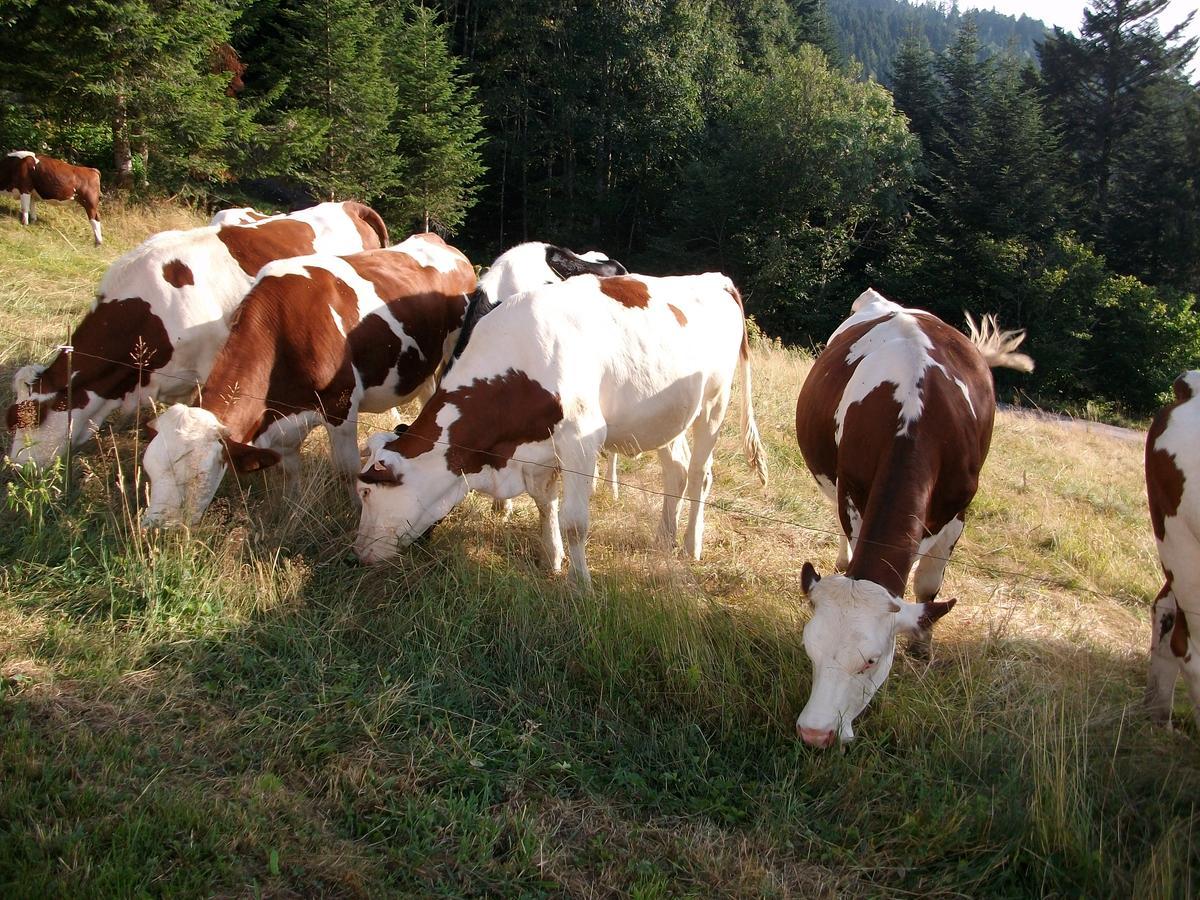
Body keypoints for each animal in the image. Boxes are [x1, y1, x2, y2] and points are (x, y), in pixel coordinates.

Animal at [140, 232, 472, 528]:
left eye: (197, 477)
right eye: (149, 469)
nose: (155, 529)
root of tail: (437, 240)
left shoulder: (341, 405)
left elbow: (346, 469)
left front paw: (354, 512)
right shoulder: (281, 421)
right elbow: (289, 471)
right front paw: (292, 511)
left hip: (450, 353)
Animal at [350, 271, 772, 588]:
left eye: (367, 492)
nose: (357, 553)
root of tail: (714, 278)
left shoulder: (581, 440)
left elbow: (575, 523)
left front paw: (579, 583)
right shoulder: (536, 449)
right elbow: (545, 504)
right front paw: (551, 558)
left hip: (714, 404)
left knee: (700, 474)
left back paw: (689, 545)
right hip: (667, 414)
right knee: (677, 469)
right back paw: (663, 539)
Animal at [792, 289, 1036, 748]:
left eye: (872, 661)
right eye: (809, 648)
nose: (815, 734)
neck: (916, 418)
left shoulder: (958, 509)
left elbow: (927, 585)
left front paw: (923, 644)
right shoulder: (851, 491)